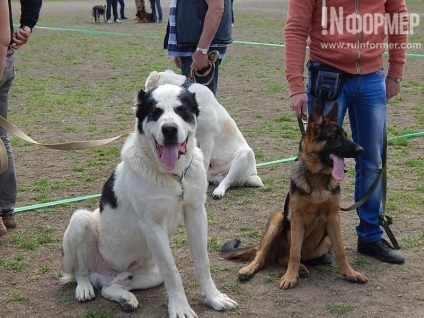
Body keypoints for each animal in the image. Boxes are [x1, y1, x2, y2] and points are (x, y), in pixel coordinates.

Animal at [60, 83, 237, 316]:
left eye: (182, 110)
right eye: (155, 112)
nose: (169, 129)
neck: (174, 177)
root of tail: (103, 274)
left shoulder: (196, 213)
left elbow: (202, 262)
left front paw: (213, 297)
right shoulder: (152, 225)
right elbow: (172, 271)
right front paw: (180, 308)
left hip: (150, 275)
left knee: (109, 287)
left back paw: (125, 298)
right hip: (81, 221)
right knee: (81, 272)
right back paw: (84, 288)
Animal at [146, 70, 264, 199]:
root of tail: (251, 175)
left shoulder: (207, 137)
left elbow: (205, 160)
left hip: (246, 154)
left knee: (227, 180)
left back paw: (218, 191)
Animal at [222, 100, 368, 290]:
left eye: (345, 135)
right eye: (334, 137)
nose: (361, 149)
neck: (318, 180)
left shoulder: (334, 218)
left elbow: (340, 251)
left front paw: (350, 273)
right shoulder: (297, 219)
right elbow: (294, 253)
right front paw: (290, 276)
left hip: (324, 242)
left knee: (282, 257)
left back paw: (302, 268)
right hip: (278, 219)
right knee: (263, 256)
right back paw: (251, 269)